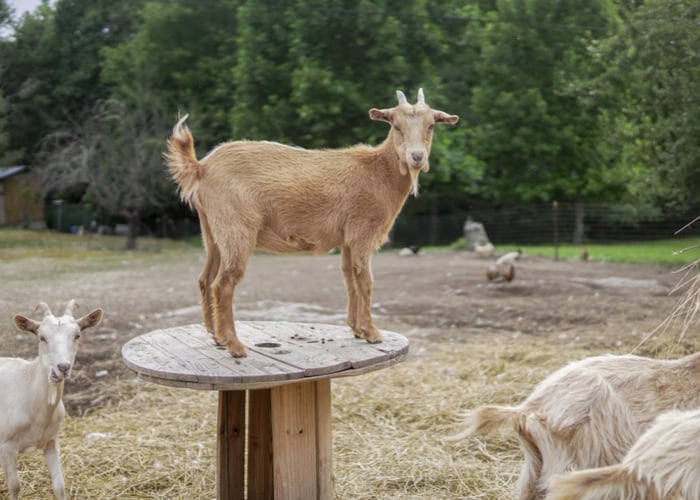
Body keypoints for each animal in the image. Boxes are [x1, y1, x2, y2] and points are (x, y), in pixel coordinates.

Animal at [0, 300, 103, 500]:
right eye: (42, 338)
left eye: (77, 335)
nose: (62, 367)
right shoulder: (6, 445)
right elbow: (14, 486)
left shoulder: (51, 441)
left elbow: (59, 485)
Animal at [165, 88, 460, 358]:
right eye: (396, 125)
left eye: (431, 125)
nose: (417, 157)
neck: (378, 172)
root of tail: (202, 168)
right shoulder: (363, 231)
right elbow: (365, 279)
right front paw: (372, 333)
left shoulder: (347, 237)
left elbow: (349, 276)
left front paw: (356, 329)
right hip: (236, 228)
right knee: (223, 283)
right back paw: (235, 346)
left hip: (212, 231)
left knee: (205, 278)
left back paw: (215, 336)